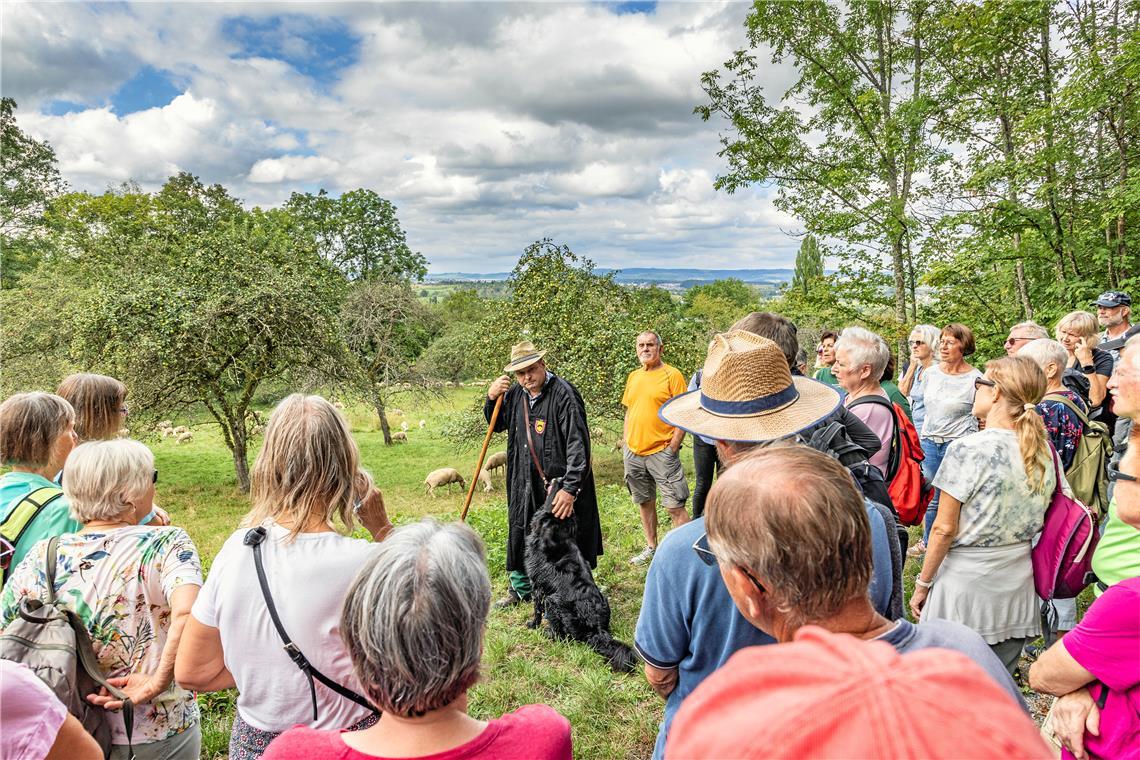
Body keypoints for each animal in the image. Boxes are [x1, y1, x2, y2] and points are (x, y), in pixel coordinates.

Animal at [524, 480, 642, 669]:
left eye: (557, 496)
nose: (559, 479)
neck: (559, 534)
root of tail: (596, 627)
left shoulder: (537, 586)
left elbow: (536, 610)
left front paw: (533, 625)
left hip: (552, 602)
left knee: (561, 636)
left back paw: (547, 632)